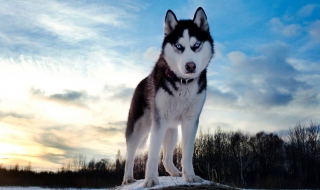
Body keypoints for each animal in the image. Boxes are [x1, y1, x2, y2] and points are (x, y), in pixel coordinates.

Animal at [122, 7, 212, 187]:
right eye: (178, 46)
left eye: (196, 45)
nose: (190, 66)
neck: (182, 83)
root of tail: (141, 82)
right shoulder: (159, 121)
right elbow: (152, 153)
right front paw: (150, 179)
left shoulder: (190, 121)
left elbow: (187, 153)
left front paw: (190, 176)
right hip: (139, 127)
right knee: (130, 154)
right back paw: (127, 178)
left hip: (171, 131)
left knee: (166, 157)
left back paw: (174, 172)